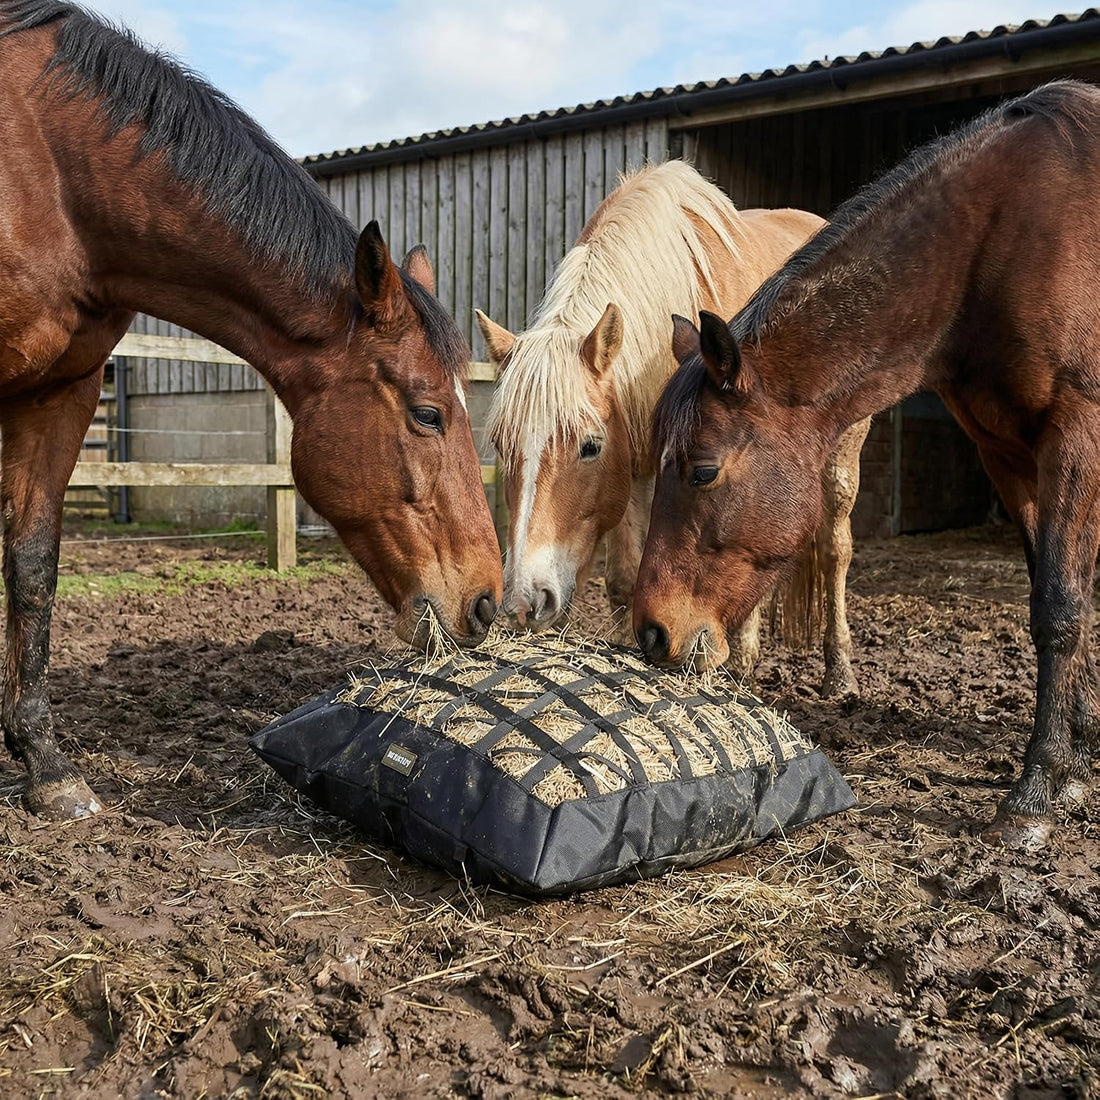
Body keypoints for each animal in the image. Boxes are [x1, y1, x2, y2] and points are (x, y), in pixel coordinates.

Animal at [0, 0, 502, 820]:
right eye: (428, 413)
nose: (488, 604)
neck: (53, 175)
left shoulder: (62, 392)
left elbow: (33, 566)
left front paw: (46, 765)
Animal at [478, 161, 870, 694]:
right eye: (503, 446)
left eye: (590, 446)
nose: (522, 601)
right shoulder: (636, 466)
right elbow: (625, 580)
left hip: (840, 459)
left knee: (834, 551)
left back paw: (839, 672)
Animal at [638, 80, 1100, 849]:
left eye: (702, 470)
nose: (651, 632)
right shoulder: (1008, 454)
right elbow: (1059, 589)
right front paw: (1074, 758)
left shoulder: (1074, 436)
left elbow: (1058, 607)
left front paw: (1035, 791)